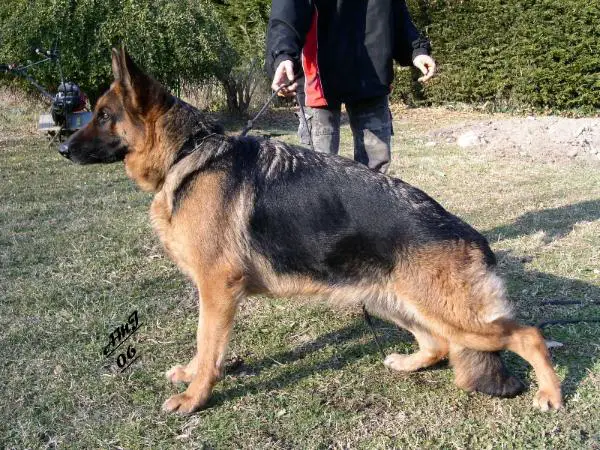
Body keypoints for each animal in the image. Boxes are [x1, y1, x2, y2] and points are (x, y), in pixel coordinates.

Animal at [58, 49, 560, 414]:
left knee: (528, 335)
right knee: (437, 344)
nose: (62, 148)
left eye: (103, 116)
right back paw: (406, 363)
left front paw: (195, 396)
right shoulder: (211, 292)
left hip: (452, 314)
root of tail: (473, 238)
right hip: (393, 301)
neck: (189, 152)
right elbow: (203, 346)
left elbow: (207, 343)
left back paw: (551, 395)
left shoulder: (218, 289)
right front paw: (192, 374)